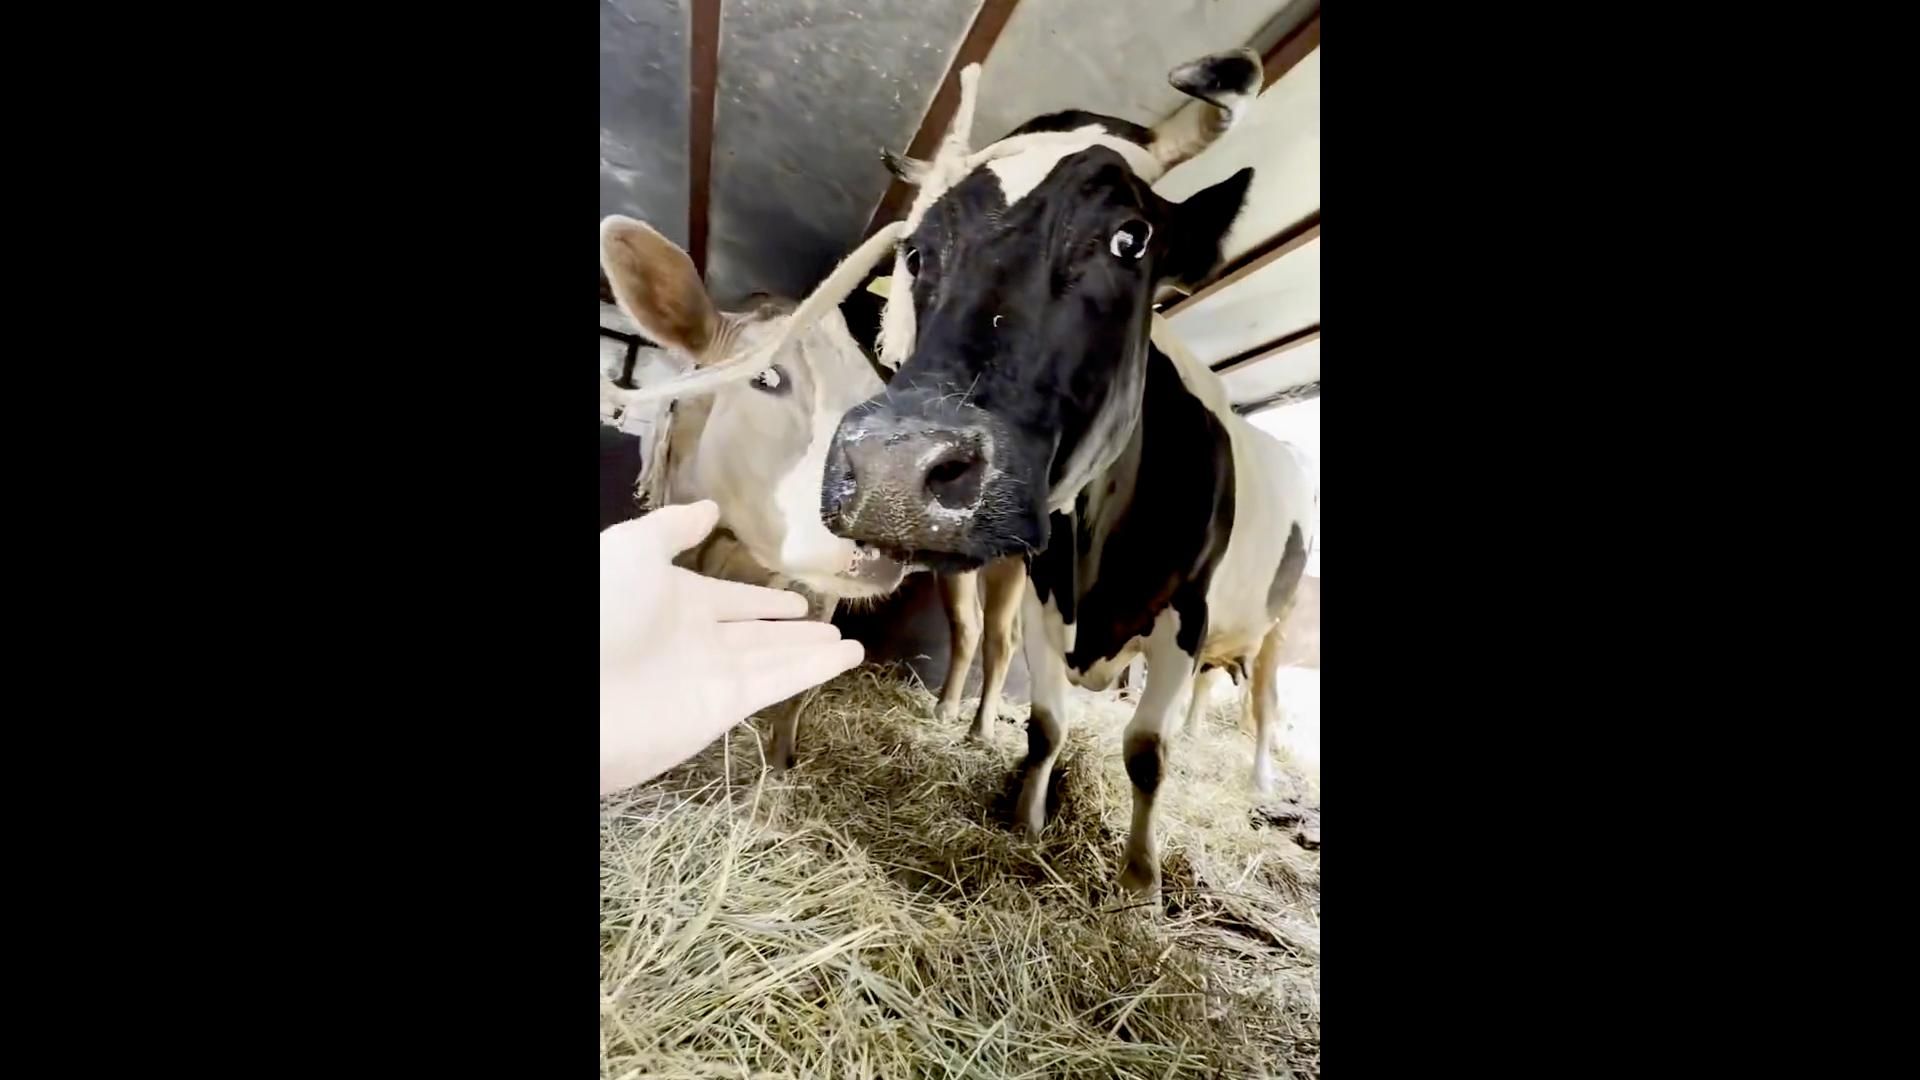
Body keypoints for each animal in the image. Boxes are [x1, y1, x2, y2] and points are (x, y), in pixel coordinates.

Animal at [599, 216, 1025, 765]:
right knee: (968, 624)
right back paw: (947, 710)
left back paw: (979, 730)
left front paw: (781, 763)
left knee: (1000, 638)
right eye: (765, 376)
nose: (884, 503)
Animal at [815, 50, 1319, 894]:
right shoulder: (1043, 597)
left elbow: (1146, 752)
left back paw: (1256, 781)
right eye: (917, 250)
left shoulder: (1186, 618)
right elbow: (1046, 725)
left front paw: (1141, 882)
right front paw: (1027, 820)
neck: (1098, 555)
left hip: (1277, 624)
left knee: (1263, 705)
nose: (893, 469)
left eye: (1131, 237)